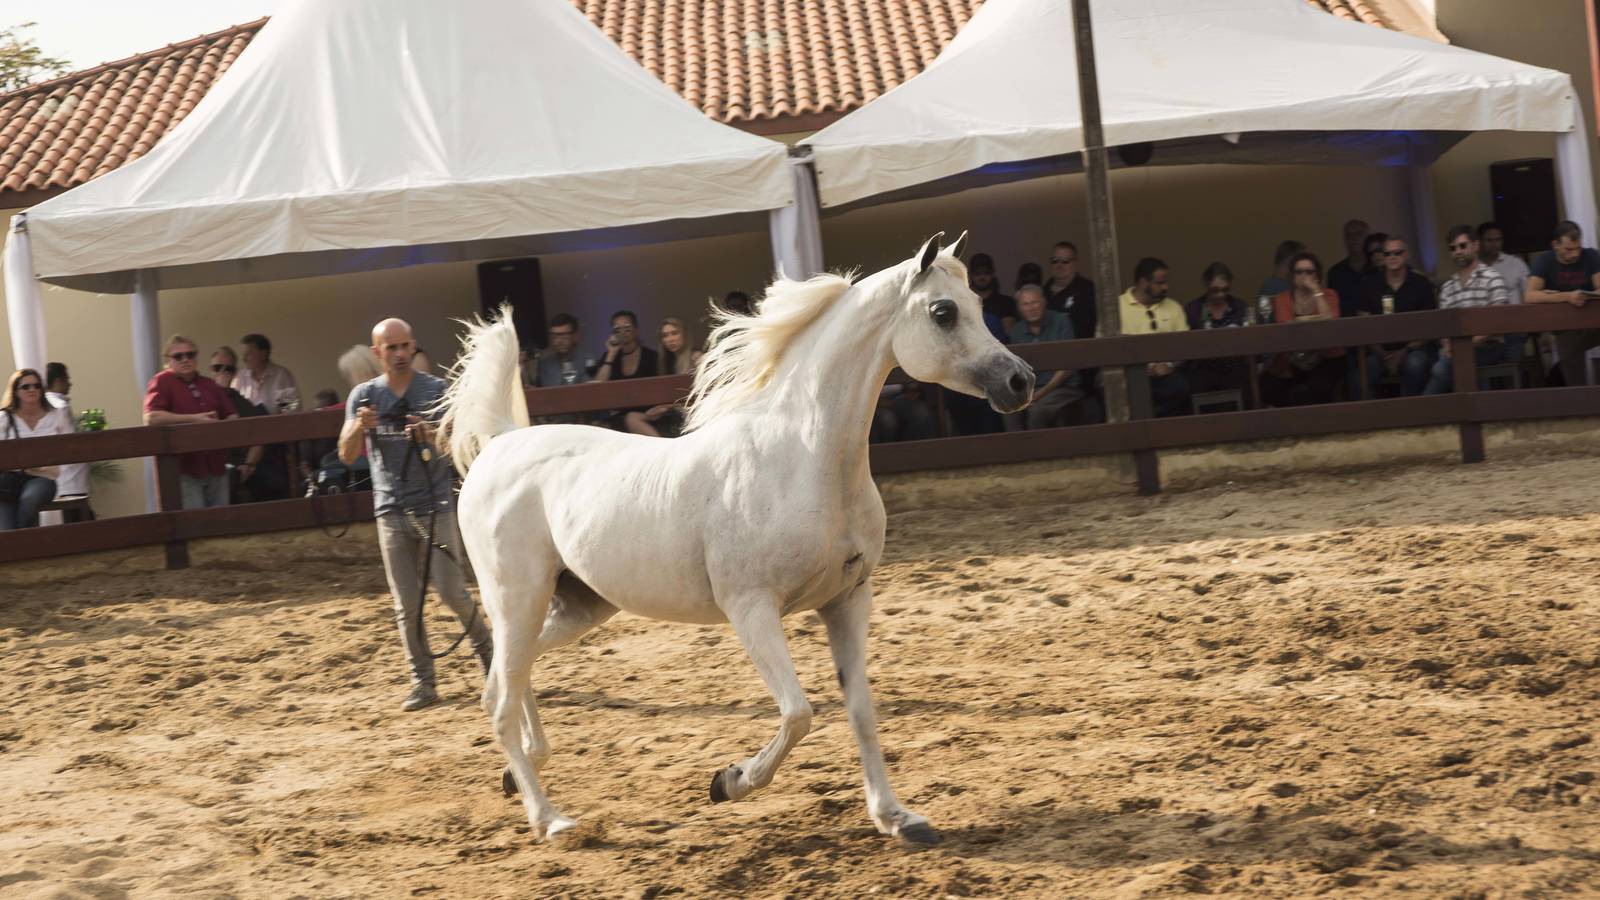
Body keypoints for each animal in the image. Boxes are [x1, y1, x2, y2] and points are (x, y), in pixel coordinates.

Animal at [438, 233, 1035, 844]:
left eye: (980, 304)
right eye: (943, 312)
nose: (1020, 382)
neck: (803, 459)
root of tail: (500, 445)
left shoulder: (848, 601)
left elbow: (861, 712)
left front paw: (897, 817)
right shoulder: (751, 608)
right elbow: (799, 712)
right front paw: (728, 782)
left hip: (579, 605)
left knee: (508, 676)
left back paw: (523, 771)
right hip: (517, 598)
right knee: (501, 696)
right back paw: (549, 818)